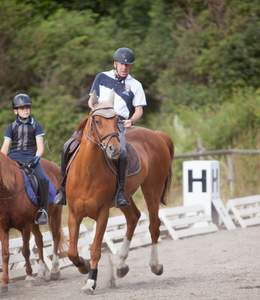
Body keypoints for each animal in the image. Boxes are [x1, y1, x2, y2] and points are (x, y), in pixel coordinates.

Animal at [0, 154, 63, 294]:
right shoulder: (3, 228)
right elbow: (5, 254)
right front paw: (4, 283)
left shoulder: (25, 226)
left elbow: (25, 251)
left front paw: (29, 277)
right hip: (35, 222)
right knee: (39, 240)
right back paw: (41, 271)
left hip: (55, 213)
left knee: (55, 237)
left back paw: (54, 270)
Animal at [66, 95, 174, 294]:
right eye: (97, 121)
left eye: (116, 120)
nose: (114, 149)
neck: (87, 173)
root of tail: (157, 135)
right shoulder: (74, 214)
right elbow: (71, 251)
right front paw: (83, 266)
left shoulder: (102, 214)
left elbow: (95, 249)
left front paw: (90, 281)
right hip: (125, 196)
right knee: (133, 217)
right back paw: (121, 265)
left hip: (151, 189)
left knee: (154, 225)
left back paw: (155, 265)